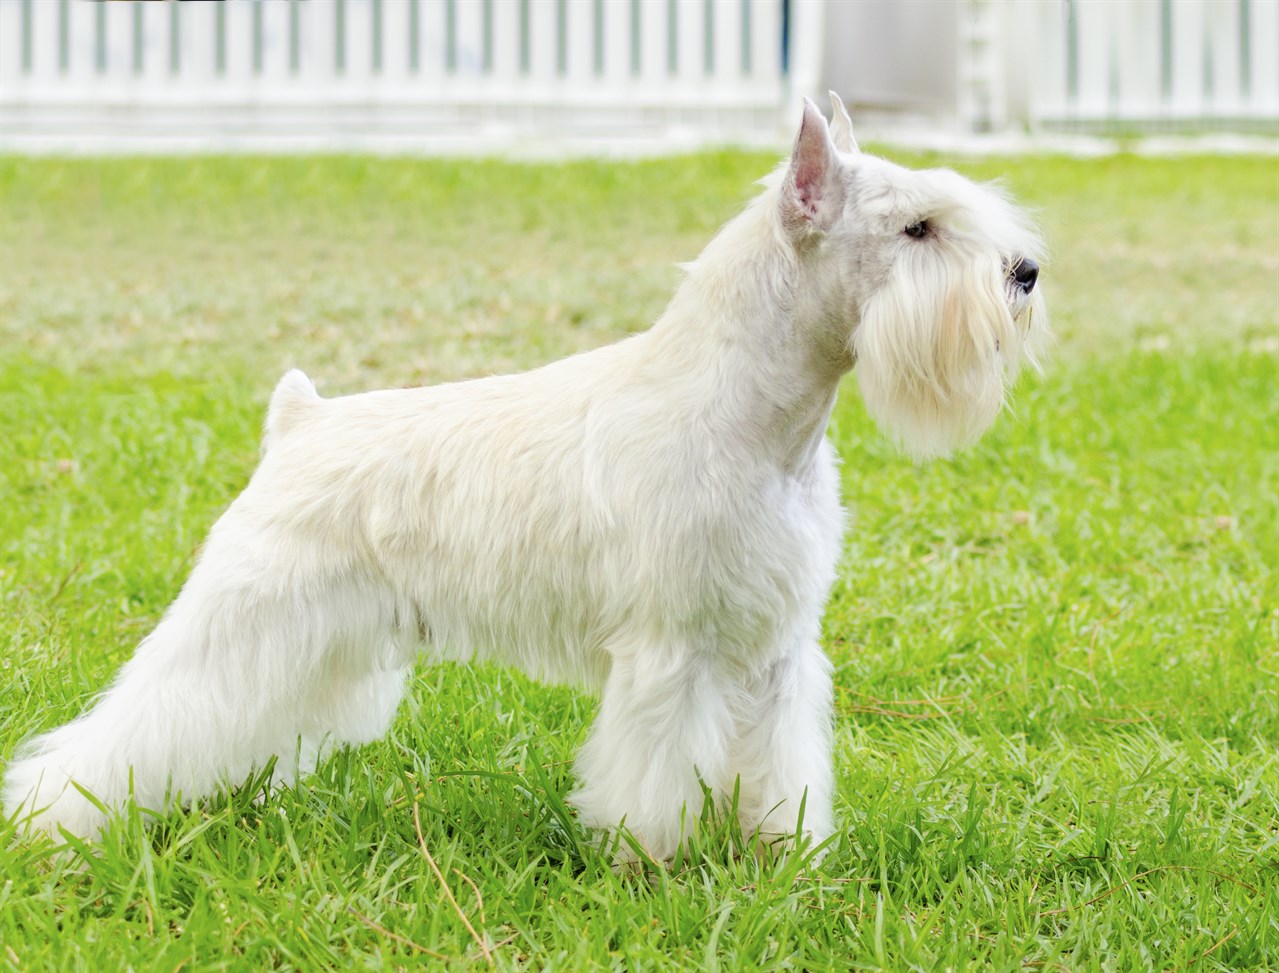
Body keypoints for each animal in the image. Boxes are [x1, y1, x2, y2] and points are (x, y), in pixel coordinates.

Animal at [2, 96, 1038, 859]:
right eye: (917, 228)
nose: (1023, 271)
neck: (756, 417)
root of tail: (299, 420)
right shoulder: (671, 653)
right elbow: (656, 777)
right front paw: (652, 866)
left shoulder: (776, 648)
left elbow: (781, 772)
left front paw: (784, 860)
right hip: (240, 619)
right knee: (138, 722)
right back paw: (54, 819)